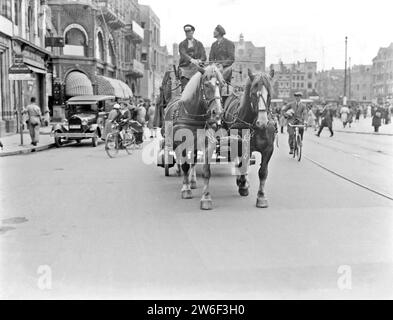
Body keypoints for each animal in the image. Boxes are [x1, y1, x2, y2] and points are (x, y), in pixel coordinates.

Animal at [162, 64, 224, 210]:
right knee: (181, 160)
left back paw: (193, 180)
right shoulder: (182, 143)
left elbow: (206, 170)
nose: (218, 112)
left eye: (221, 84)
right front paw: (186, 189)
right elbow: (185, 165)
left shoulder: (208, 144)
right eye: (206, 85)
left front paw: (206, 198)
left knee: (193, 161)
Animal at [224, 68, 276, 208]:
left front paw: (261, 196)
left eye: (269, 94)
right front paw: (243, 186)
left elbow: (263, 172)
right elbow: (243, 165)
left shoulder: (269, 149)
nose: (262, 122)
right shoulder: (243, 145)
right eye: (253, 94)